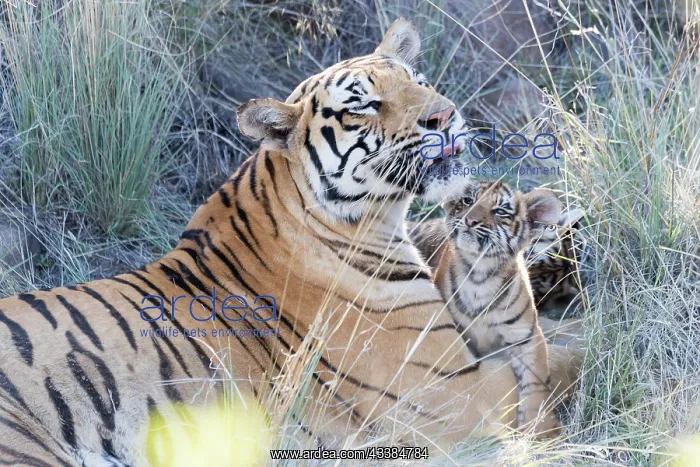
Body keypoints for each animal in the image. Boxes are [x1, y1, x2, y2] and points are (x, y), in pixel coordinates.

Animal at [427, 180, 566, 435]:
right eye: (468, 201)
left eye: (500, 211)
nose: (470, 220)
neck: (479, 274)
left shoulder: (525, 337)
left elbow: (535, 384)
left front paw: (537, 430)